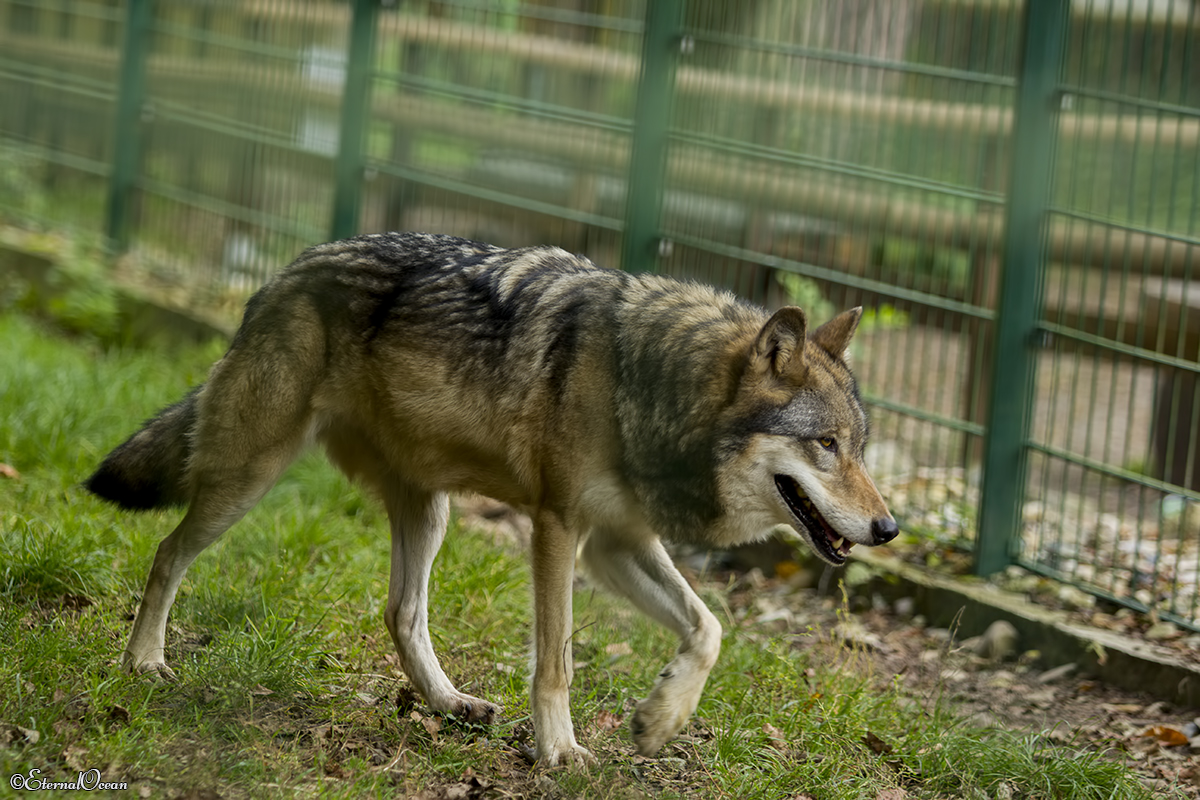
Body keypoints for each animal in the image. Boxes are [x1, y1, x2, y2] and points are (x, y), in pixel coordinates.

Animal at [86, 232, 898, 767]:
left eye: (860, 447)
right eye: (826, 445)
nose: (889, 527)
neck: (647, 382)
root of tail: (286, 268)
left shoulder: (617, 543)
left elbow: (709, 627)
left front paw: (660, 720)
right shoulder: (559, 529)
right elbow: (557, 661)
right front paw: (560, 752)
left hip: (430, 510)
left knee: (400, 611)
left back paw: (450, 706)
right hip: (250, 474)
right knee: (167, 552)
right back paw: (143, 663)